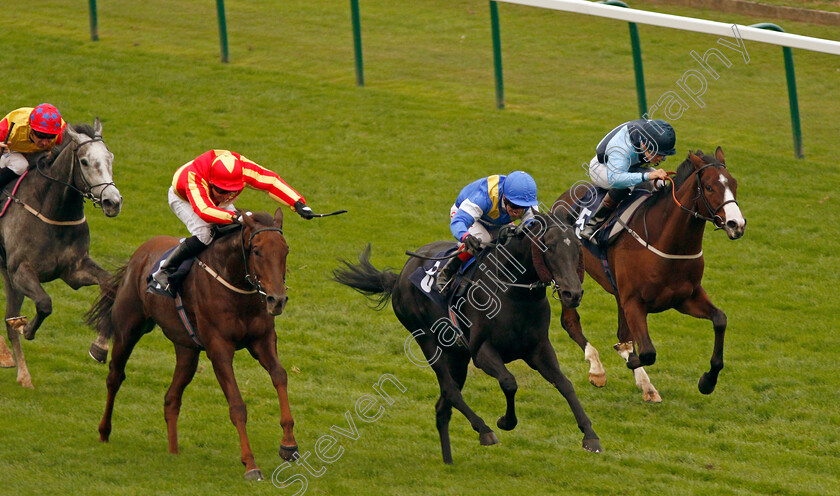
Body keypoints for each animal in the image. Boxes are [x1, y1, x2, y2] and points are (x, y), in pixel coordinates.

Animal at [0, 119, 122, 388]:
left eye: (110, 157)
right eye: (84, 161)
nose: (113, 202)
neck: (53, 211)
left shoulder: (73, 270)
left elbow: (109, 285)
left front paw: (99, 347)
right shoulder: (20, 270)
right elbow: (45, 304)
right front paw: (28, 328)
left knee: (9, 318)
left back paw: (19, 370)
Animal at [85, 208, 298, 480]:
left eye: (285, 250)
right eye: (257, 250)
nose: (277, 299)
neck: (235, 285)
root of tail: (140, 254)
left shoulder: (262, 340)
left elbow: (280, 376)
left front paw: (289, 444)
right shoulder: (219, 349)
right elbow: (237, 405)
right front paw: (251, 464)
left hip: (186, 350)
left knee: (171, 398)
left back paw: (173, 452)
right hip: (128, 330)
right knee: (115, 377)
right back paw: (104, 431)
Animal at [332, 213, 600, 464]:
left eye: (577, 248)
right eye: (548, 246)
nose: (573, 293)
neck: (514, 293)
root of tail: (399, 276)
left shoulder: (538, 349)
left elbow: (565, 384)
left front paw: (590, 435)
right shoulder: (482, 351)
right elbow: (509, 382)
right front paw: (505, 421)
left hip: (457, 356)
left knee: (442, 406)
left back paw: (448, 461)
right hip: (428, 341)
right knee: (450, 391)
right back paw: (484, 430)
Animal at [556, 148, 744, 404]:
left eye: (733, 184)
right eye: (709, 187)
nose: (737, 224)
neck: (668, 242)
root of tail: (563, 198)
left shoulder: (685, 298)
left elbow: (720, 319)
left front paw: (708, 381)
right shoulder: (635, 302)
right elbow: (647, 352)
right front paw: (627, 357)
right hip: (571, 275)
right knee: (570, 321)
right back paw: (597, 369)